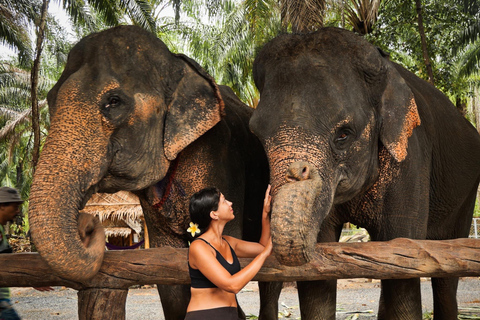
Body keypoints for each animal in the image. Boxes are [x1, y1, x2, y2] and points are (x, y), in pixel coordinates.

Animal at [27, 25, 274, 320]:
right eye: (50, 100)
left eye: (113, 101)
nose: (88, 226)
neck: (177, 64)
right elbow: (167, 266)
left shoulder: (222, 158)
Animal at [249, 27, 480, 320]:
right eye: (256, 135)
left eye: (343, 134)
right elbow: (319, 278)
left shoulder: (411, 158)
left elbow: (403, 256)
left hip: (466, 193)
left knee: (446, 270)